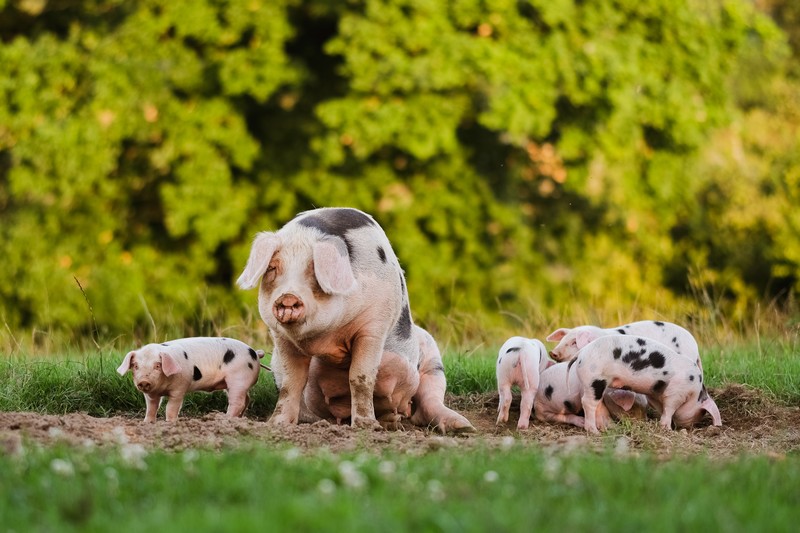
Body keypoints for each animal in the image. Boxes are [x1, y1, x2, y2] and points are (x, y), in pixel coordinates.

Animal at [116, 337, 266, 422]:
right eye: (136, 366)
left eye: (158, 365)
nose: (144, 381)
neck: (163, 387)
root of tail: (254, 353)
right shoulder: (151, 394)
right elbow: (152, 407)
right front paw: (147, 423)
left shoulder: (179, 388)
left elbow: (171, 407)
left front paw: (170, 423)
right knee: (246, 399)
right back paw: (239, 419)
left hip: (238, 378)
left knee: (237, 402)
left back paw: (225, 419)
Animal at [237, 207, 474, 433]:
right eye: (272, 267)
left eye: (314, 269)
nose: (288, 297)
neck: (325, 340)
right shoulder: (281, 338)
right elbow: (290, 382)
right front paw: (276, 424)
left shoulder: (373, 326)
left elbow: (361, 377)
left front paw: (366, 427)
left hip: (432, 358)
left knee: (430, 399)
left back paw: (462, 428)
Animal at [570, 334, 722, 433]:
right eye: (701, 412)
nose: (688, 428)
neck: (694, 392)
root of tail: (582, 352)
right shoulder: (676, 392)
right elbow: (669, 409)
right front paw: (668, 429)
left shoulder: (654, 394)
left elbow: (662, 409)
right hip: (595, 379)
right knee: (588, 403)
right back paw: (594, 432)